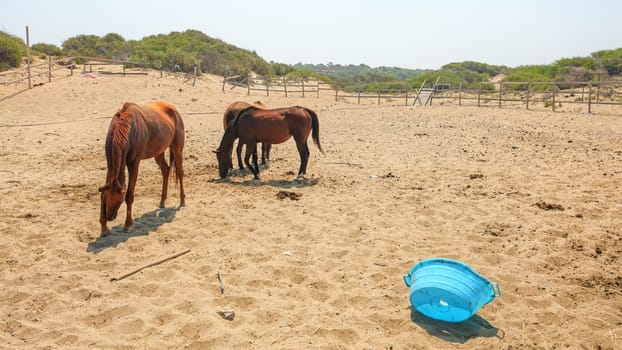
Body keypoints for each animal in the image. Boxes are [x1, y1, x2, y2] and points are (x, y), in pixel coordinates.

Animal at [98, 102, 186, 238]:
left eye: (119, 200)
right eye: (107, 199)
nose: (110, 217)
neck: (125, 130)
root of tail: (173, 109)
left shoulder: (134, 163)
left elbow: (130, 195)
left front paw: (127, 225)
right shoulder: (110, 164)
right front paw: (103, 227)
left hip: (177, 147)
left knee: (180, 172)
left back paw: (182, 200)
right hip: (158, 151)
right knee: (165, 170)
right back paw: (162, 201)